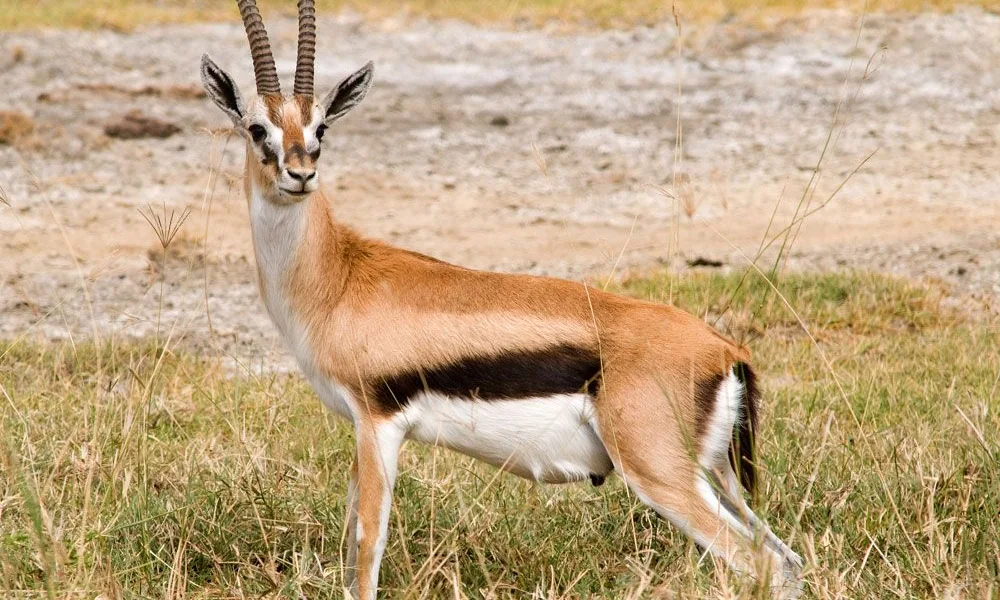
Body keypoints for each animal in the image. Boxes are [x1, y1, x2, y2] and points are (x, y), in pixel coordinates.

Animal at [200, 1, 804, 597]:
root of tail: (725, 351)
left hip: (661, 476)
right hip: (719, 478)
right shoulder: (359, 428)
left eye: (321, 125)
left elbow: (366, 550)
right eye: (257, 127)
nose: (301, 174)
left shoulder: (377, 424)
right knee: (788, 560)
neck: (339, 277)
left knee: (763, 564)